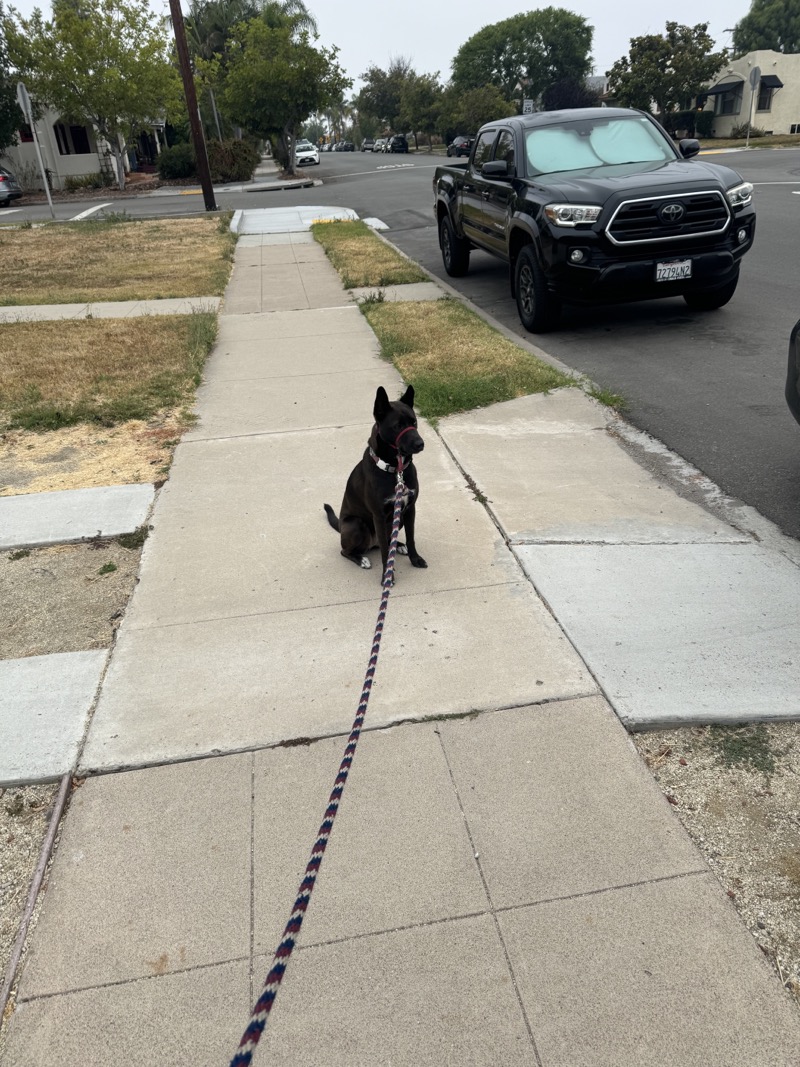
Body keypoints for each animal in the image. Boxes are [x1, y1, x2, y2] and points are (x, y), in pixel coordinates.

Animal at [324, 386, 428, 580]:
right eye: (397, 426)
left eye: (414, 422)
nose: (420, 444)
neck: (395, 470)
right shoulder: (378, 515)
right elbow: (386, 552)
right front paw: (387, 576)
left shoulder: (410, 508)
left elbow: (411, 538)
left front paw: (415, 559)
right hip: (356, 525)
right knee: (347, 551)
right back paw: (361, 559)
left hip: (398, 519)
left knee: (387, 540)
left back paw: (399, 545)